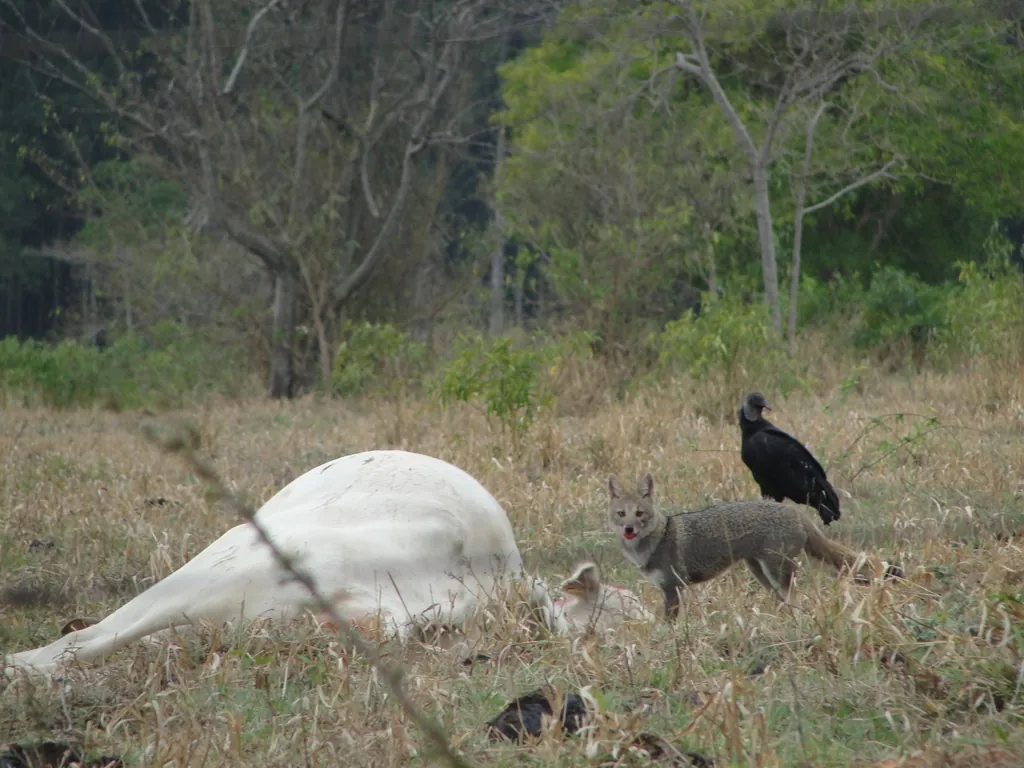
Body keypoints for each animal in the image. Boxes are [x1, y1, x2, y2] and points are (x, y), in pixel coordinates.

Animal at [607, 473, 900, 619]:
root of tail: (795, 512)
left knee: (799, 605)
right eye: (621, 514)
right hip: (764, 577)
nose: (629, 529)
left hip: (777, 576)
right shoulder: (668, 590)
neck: (655, 541)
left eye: (639, 513)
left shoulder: (673, 589)